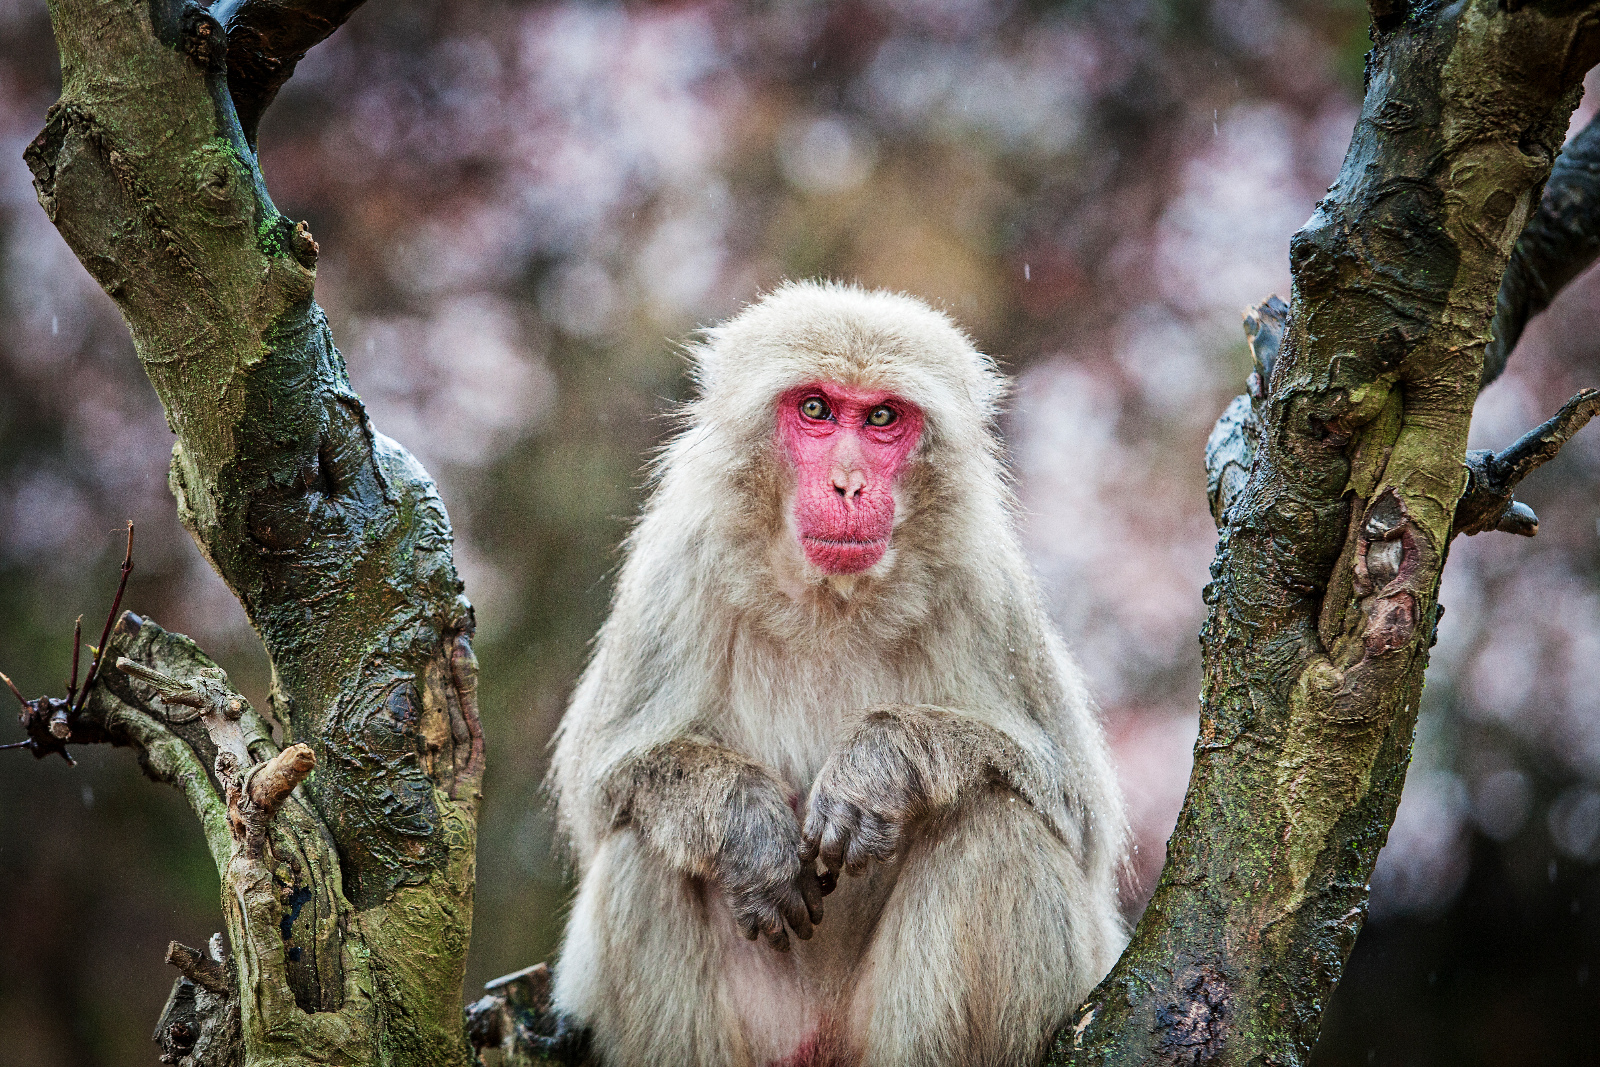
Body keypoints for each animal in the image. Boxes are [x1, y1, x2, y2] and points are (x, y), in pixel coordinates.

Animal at [550, 279, 1126, 1062]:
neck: (830, 597)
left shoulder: (986, 586)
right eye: (816, 409)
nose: (849, 483)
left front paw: (878, 767)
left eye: (883, 417)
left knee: (997, 820)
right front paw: (746, 827)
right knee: (643, 843)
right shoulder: (676, 568)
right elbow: (602, 789)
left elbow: (1078, 813)